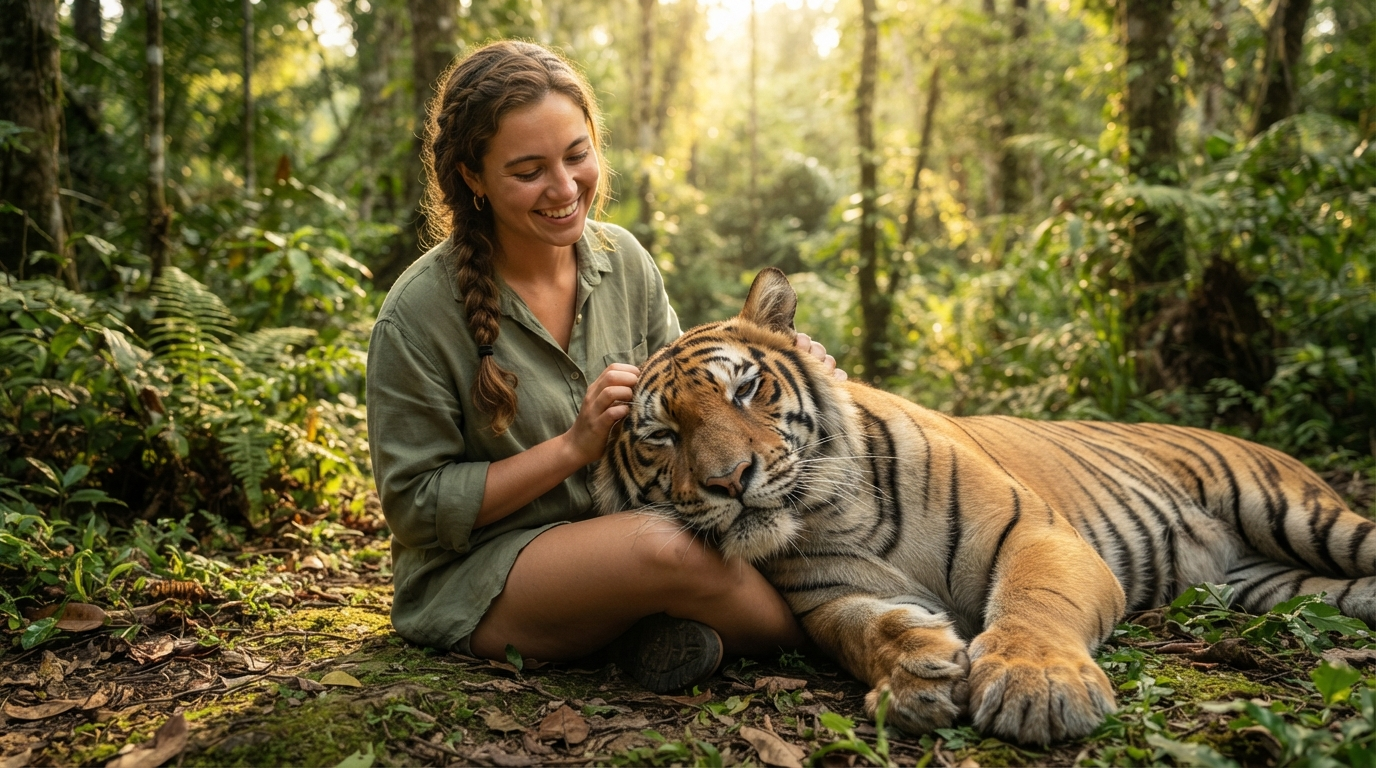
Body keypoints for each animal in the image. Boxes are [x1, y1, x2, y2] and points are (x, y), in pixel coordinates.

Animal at [591, 267, 1376, 745]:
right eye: (661, 435)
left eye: (746, 389)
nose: (730, 479)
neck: (830, 509)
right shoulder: (829, 597)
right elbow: (867, 632)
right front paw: (915, 672)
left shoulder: (1034, 534)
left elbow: (1034, 603)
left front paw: (1038, 686)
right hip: (1276, 586)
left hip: (1301, 516)